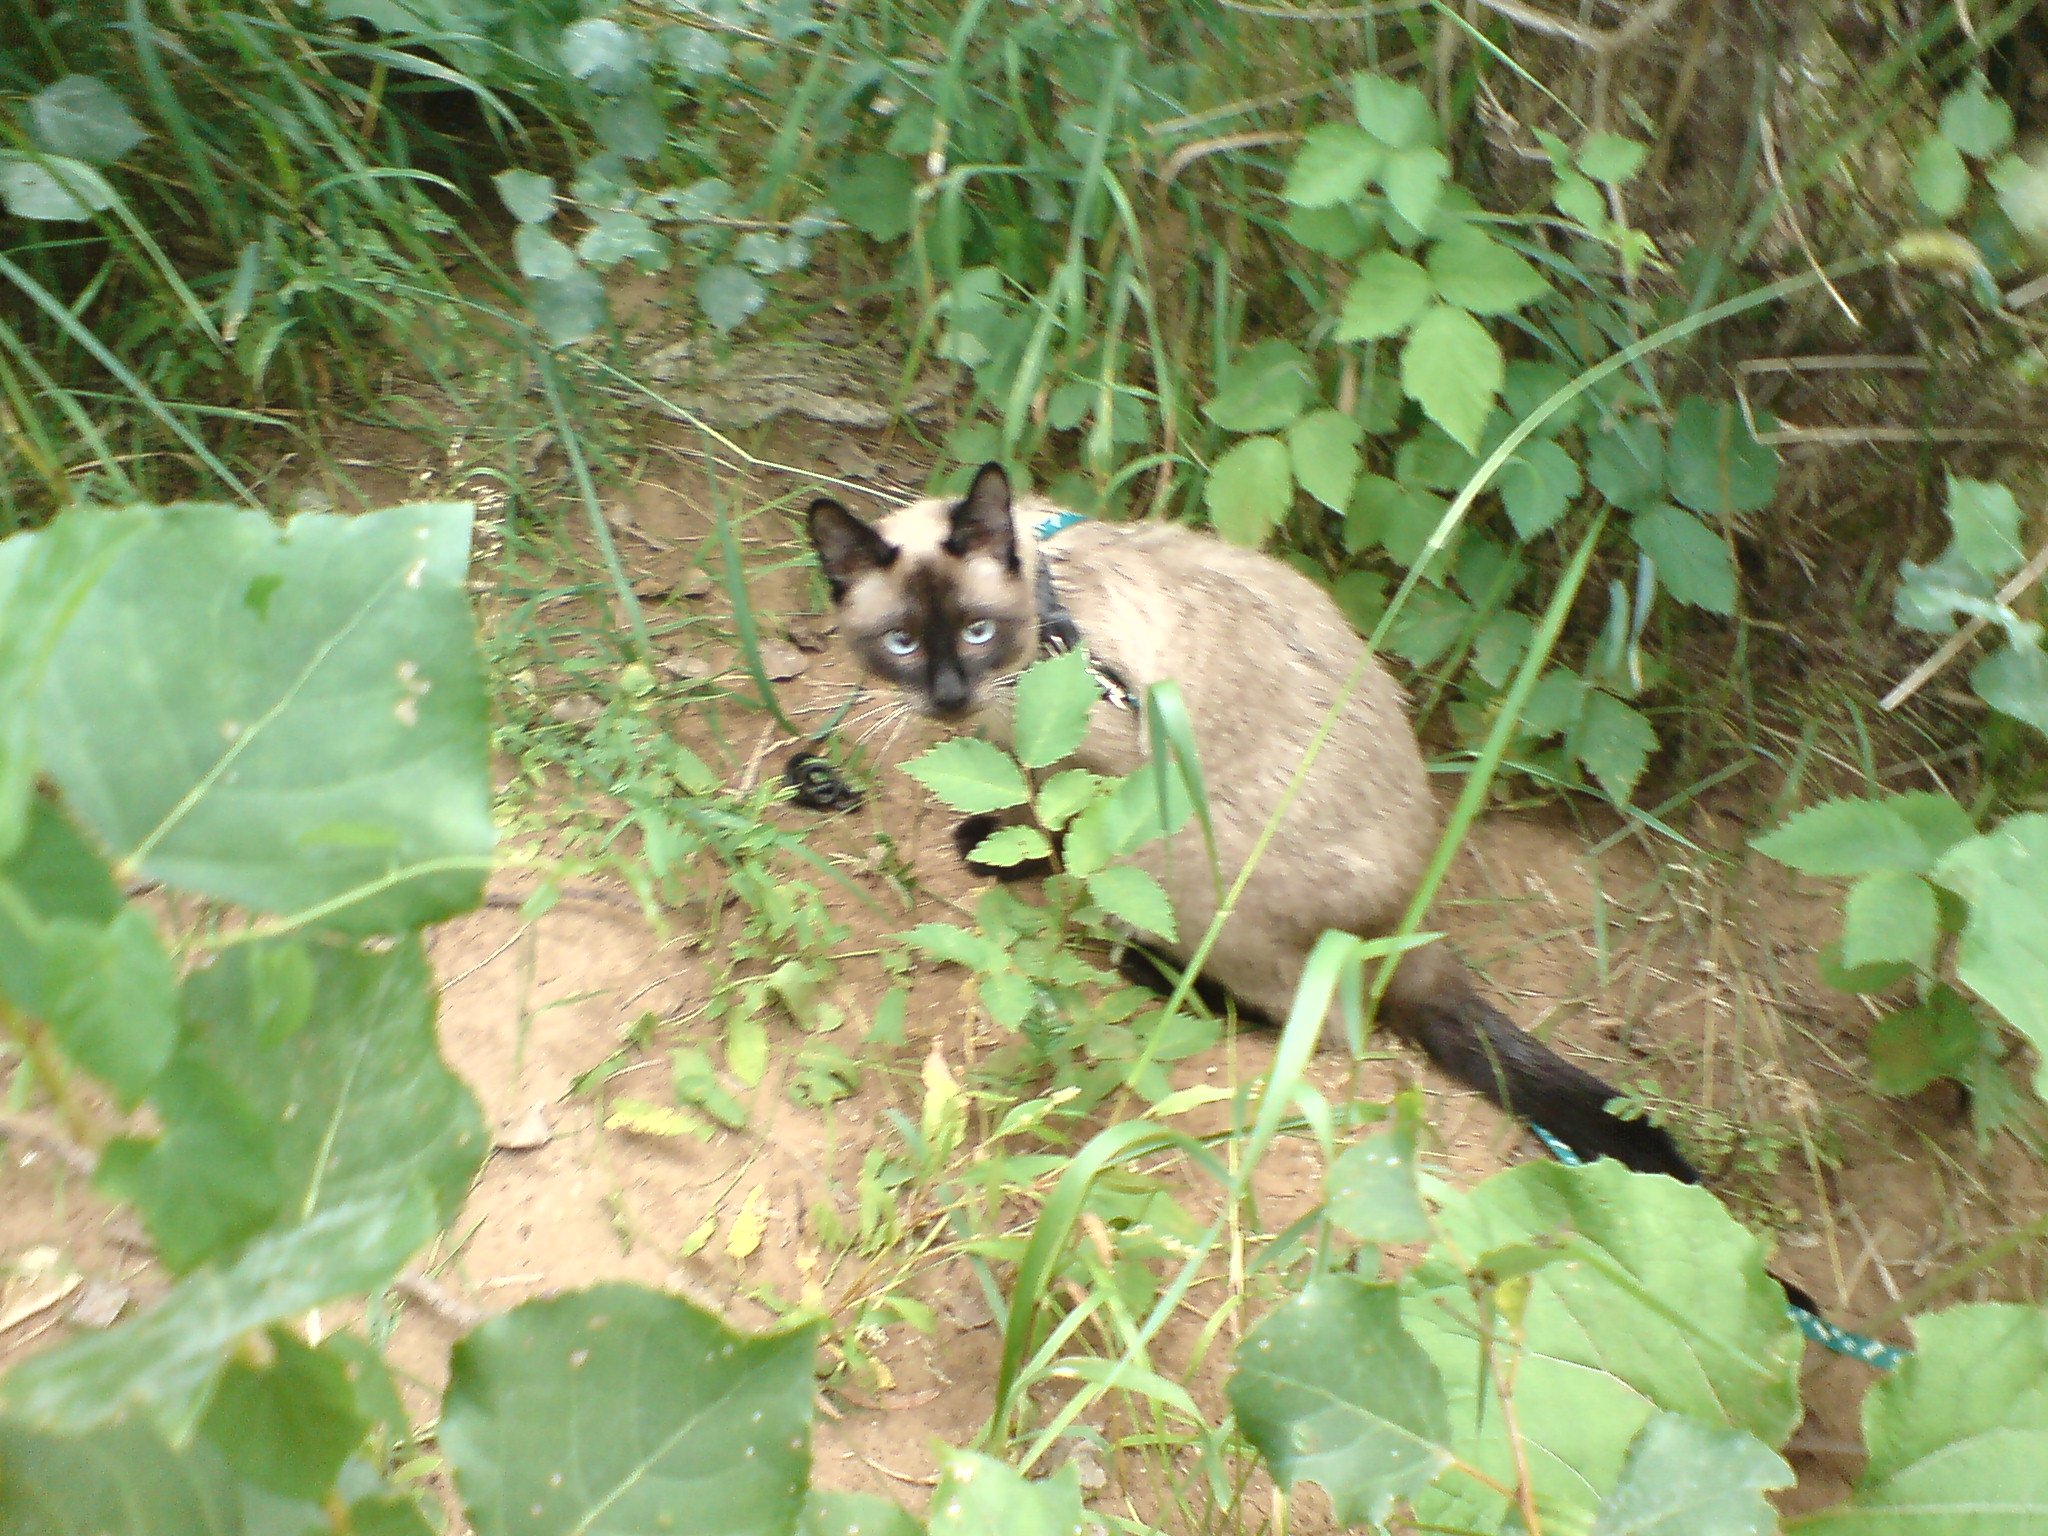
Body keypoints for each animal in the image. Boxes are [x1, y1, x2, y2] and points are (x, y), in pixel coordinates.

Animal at [806, 461, 1700, 1183]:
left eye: (978, 632)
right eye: (900, 643)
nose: (948, 696)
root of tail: (1410, 925)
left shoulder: (1104, 773)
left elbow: (1058, 834)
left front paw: (999, 854)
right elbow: (1023, 804)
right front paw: (990, 835)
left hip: (1187, 858)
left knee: (1316, 1020)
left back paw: (1157, 974)